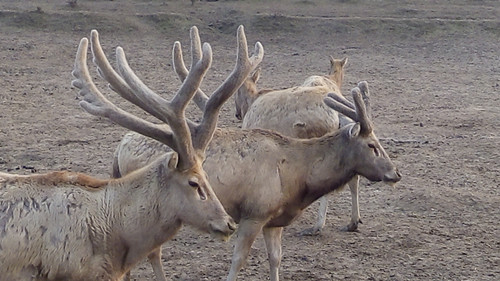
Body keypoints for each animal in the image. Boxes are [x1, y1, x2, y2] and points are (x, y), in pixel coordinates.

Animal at [96, 25, 402, 278]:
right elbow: (238, 260)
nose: (395, 173)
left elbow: (276, 258)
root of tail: (118, 149)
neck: (296, 178)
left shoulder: (274, 220)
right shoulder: (254, 212)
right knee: (152, 252)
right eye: (372, 145)